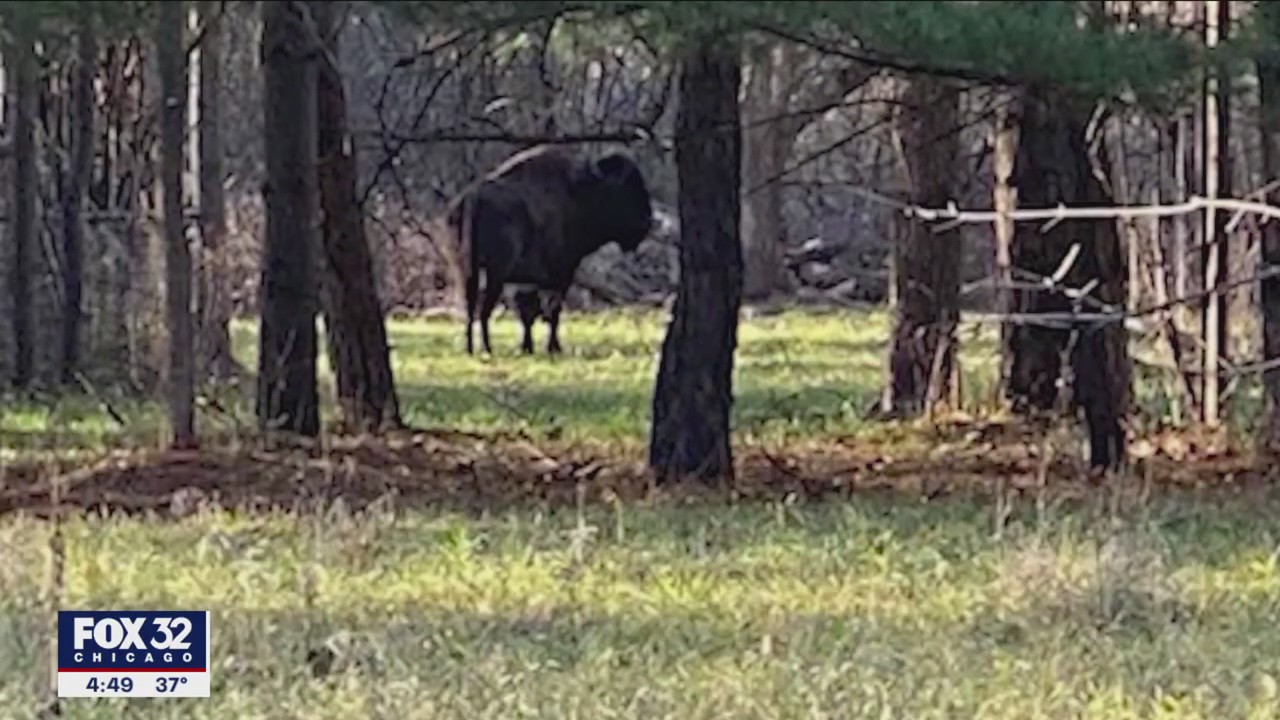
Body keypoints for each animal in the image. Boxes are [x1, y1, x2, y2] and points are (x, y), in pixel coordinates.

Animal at [447, 145, 654, 356]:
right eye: (626, 189)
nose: (647, 221)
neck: (583, 190)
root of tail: (473, 198)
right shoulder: (561, 273)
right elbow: (552, 310)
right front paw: (553, 347)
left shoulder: (527, 282)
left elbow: (529, 314)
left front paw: (528, 348)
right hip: (495, 274)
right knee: (484, 310)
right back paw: (488, 349)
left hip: (466, 271)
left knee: (471, 308)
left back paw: (471, 349)